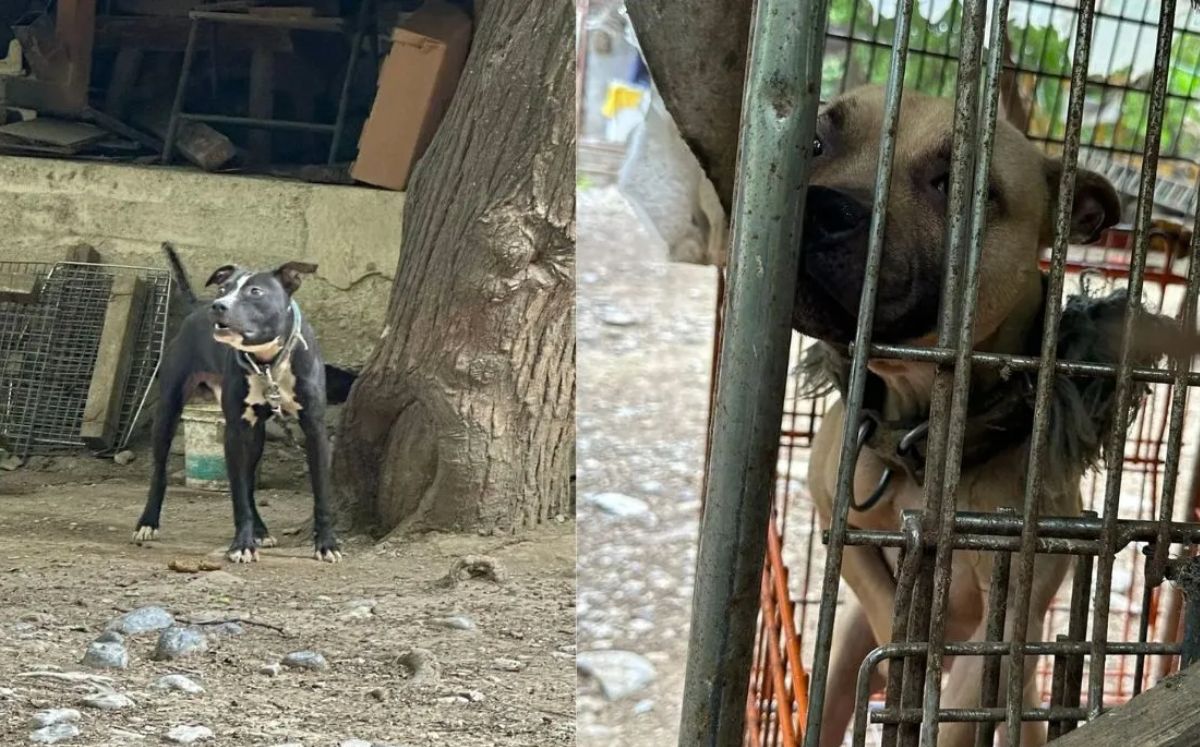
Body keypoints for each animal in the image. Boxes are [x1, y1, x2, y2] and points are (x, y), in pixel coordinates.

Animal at [136, 242, 343, 564]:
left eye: (255, 291)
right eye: (224, 288)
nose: (218, 306)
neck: (268, 361)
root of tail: (196, 306)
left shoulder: (315, 429)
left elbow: (321, 493)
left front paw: (326, 544)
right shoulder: (235, 431)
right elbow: (238, 497)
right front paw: (241, 545)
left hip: (255, 436)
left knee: (249, 482)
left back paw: (261, 530)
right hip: (169, 410)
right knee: (160, 471)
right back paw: (148, 522)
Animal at [801, 87, 1128, 747]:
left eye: (956, 186)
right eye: (816, 143)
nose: (818, 207)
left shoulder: (1009, 621)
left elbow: (954, 706)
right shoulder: (833, 511)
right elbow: (886, 613)